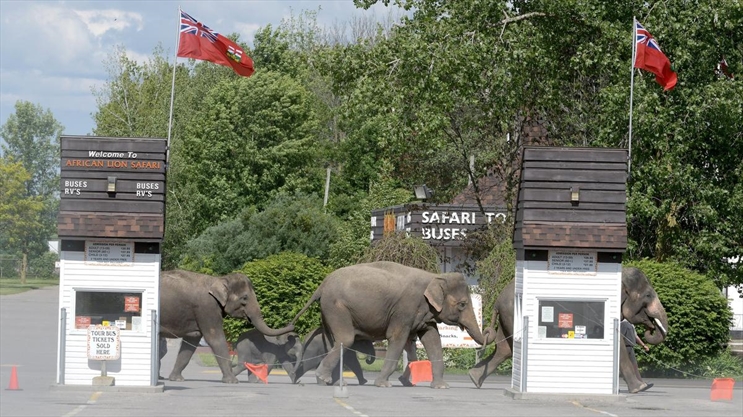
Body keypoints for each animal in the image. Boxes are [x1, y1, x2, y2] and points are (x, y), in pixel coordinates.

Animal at [161, 270, 294, 384]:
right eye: (245, 298)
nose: (292, 325)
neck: (219, 279)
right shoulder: (207, 308)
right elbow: (215, 339)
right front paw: (232, 381)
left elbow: (190, 343)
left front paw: (176, 379)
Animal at [290, 262, 488, 388]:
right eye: (462, 304)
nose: (487, 331)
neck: (434, 277)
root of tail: (322, 285)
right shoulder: (404, 309)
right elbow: (397, 338)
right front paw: (383, 384)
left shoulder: (425, 314)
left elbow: (432, 339)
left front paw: (441, 387)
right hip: (336, 308)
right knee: (345, 339)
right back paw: (324, 380)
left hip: (328, 312)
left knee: (334, 341)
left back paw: (334, 382)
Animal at [470, 264, 668, 394]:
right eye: (648, 295)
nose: (651, 329)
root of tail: (497, 300)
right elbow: (616, 341)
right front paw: (639, 389)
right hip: (511, 313)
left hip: (506, 317)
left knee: (504, 349)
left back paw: (474, 378)